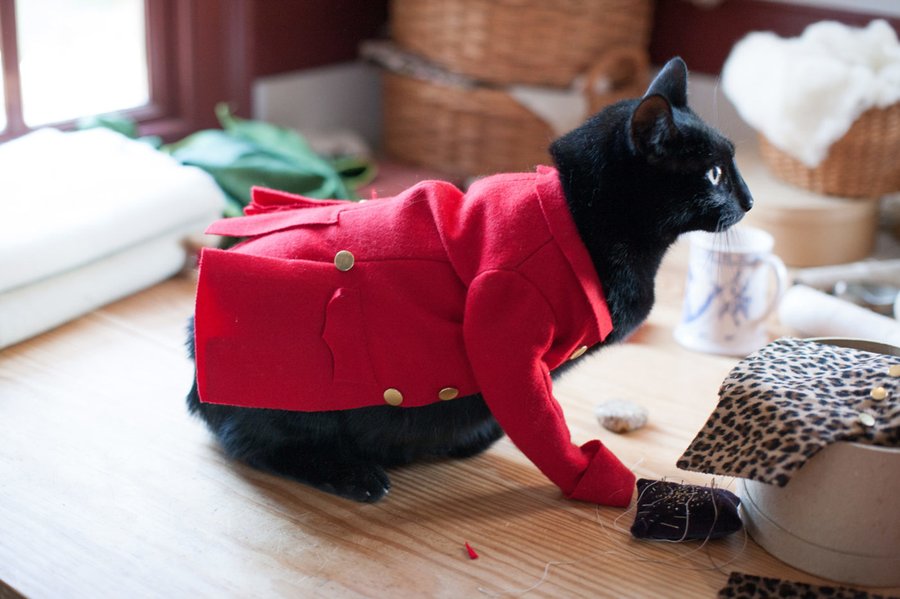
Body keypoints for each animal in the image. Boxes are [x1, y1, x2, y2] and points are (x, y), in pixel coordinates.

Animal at [188, 58, 752, 504]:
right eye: (714, 175)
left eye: (734, 164)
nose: (749, 199)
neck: (580, 217)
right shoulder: (506, 339)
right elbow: (542, 423)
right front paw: (602, 481)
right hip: (301, 405)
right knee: (254, 443)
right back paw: (356, 473)